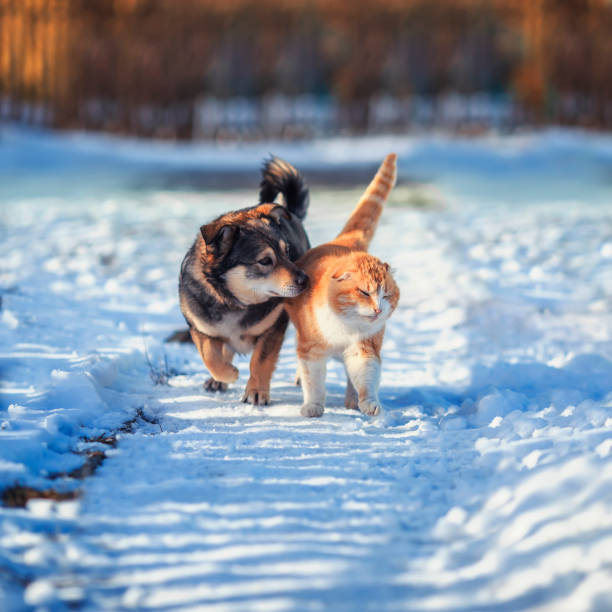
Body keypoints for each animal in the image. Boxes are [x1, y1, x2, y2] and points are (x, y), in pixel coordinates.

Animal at [176, 158, 310, 406]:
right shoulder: (199, 327)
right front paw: (227, 374)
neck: (234, 301)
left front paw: (256, 392)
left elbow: (260, 361)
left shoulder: (273, 327)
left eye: (287, 252)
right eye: (265, 261)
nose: (306, 280)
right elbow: (210, 355)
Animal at [284, 155, 400, 418]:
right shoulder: (311, 350)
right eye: (365, 292)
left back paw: (351, 400)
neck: (344, 326)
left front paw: (368, 402)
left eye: (386, 295)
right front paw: (313, 407)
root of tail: (346, 242)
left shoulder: (364, 348)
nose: (378, 310)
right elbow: (313, 382)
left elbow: (366, 377)